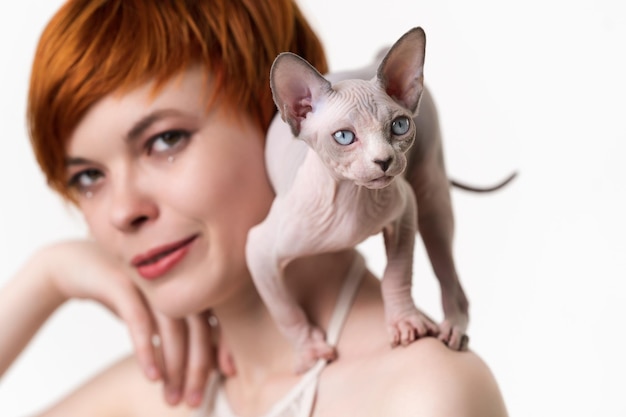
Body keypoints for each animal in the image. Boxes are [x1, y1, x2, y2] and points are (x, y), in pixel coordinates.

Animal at [244, 27, 512, 372]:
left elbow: (395, 274)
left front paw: (404, 322)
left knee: (449, 273)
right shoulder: (259, 250)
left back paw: (452, 327)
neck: (352, 198)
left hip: (431, 195)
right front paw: (309, 351)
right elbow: (285, 311)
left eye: (399, 126)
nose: (384, 161)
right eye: (344, 136)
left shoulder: (405, 208)